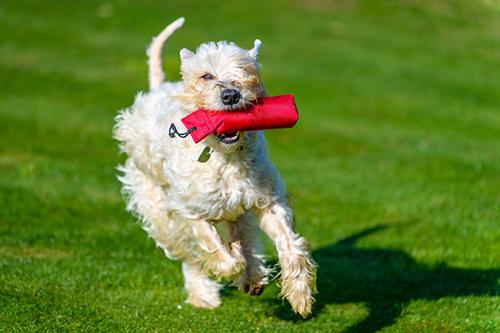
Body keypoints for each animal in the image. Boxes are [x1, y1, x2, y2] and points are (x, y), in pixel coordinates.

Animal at [113, 17, 316, 316]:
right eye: (206, 76)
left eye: (246, 70)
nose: (231, 95)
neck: (224, 156)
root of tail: (157, 87)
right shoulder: (188, 211)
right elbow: (219, 252)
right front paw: (232, 258)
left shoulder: (268, 200)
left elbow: (290, 244)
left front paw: (300, 294)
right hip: (155, 207)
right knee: (190, 255)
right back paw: (204, 293)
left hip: (236, 210)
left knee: (244, 234)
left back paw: (253, 277)